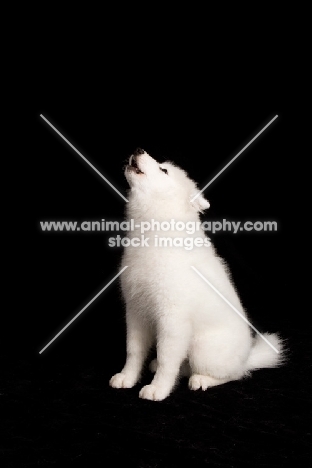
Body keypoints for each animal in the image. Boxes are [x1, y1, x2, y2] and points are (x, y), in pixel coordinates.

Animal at [109, 148, 282, 400]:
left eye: (163, 170)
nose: (139, 150)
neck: (155, 234)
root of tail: (247, 358)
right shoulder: (135, 310)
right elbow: (133, 351)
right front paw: (127, 377)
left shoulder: (173, 320)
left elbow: (166, 359)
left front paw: (158, 388)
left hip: (202, 348)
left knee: (233, 374)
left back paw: (202, 380)